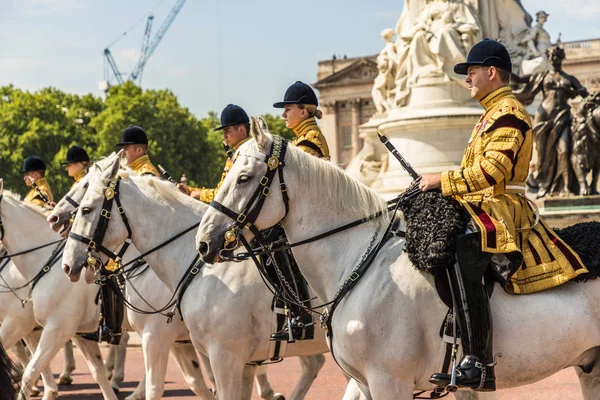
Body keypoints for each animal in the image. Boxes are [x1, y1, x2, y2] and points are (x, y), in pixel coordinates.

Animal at [61, 157, 330, 400]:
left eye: (86, 208)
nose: (67, 264)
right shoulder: (196, 347)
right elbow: (195, 382)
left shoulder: (177, 342)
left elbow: (156, 388)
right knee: (315, 364)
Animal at [195, 121, 600, 400]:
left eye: (244, 177)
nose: (204, 241)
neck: (358, 264)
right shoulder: (366, 383)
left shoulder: (390, 381)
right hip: (590, 367)